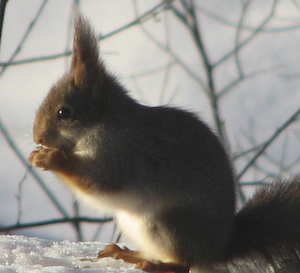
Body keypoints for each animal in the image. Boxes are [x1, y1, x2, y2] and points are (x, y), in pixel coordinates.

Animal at [28, 14, 300, 272]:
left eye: (64, 112)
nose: (37, 138)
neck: (102, 122)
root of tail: (219, 248)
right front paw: (38, 153)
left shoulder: (120, 152)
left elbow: (98, 181)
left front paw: (49, 158)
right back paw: (128, 254)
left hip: (169, 223)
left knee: (184, 263)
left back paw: (156, 264)